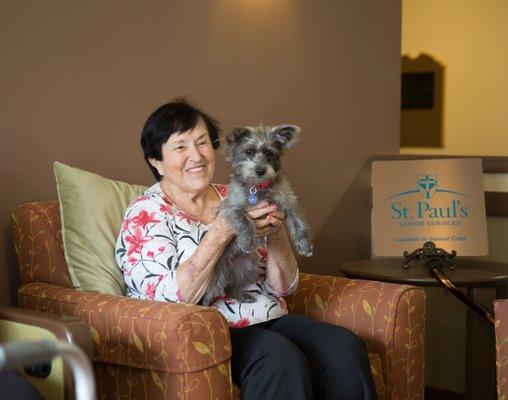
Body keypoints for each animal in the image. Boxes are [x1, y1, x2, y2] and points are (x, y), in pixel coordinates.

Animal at [199, 123, 312, 304]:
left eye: (269, 153)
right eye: (249, 152)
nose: (260, 170)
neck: (257, 187)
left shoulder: (287, 203)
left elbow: (298, 222)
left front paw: (304, 245)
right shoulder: (229, 209)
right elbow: (243, 219)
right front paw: (247, 241)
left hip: (248, 267)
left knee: (233, 288)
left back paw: (243, 296)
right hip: (215, 279)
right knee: (207, 297)